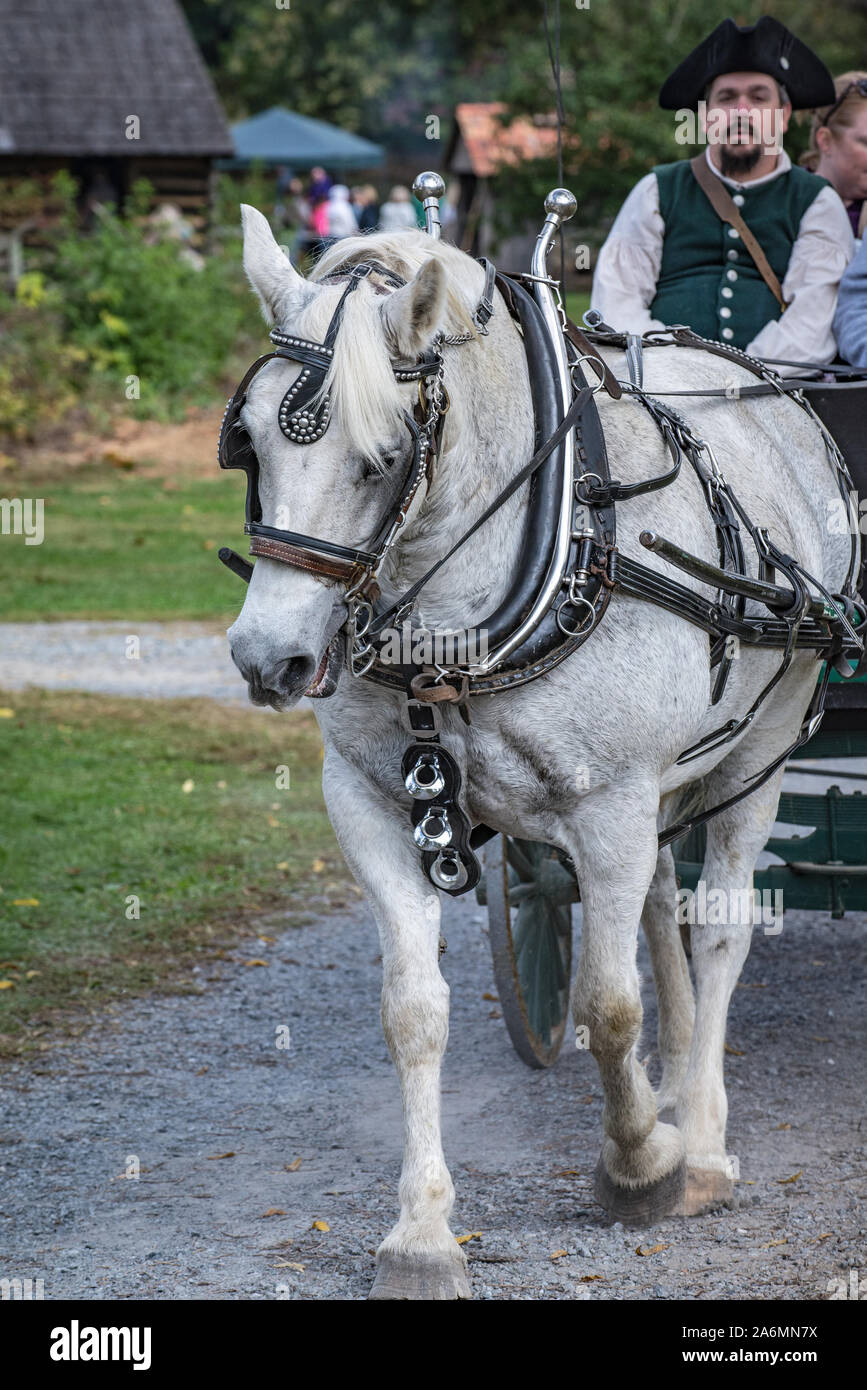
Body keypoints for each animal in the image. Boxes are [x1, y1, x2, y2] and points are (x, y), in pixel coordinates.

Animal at [225, 208, 855, 1301]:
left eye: (381, 456)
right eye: (250, 441)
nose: (271, 657)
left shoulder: (610, 803)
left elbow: (607, 1002)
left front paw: (641, 1164)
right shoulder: (371, 805)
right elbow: (414, 1010)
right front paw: (421, 1232)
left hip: (758, 753)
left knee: (719, 925)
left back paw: (702, 1136)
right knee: (657, 906)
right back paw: (674, 1089)